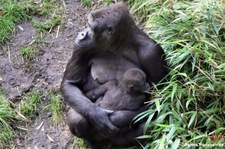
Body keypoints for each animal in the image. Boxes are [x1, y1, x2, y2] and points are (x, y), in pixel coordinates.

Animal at [60, 2, 168, 148]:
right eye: (88, 25)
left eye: (91, 28)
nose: (82, 34)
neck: (118, 44)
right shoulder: (81, 47)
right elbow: (70, 83)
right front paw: (97, 115)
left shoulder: (152, 52)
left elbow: (158, 99)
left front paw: (116, 118)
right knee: (76, 117)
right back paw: (92, 142)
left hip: (118, 141)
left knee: (150, 124)